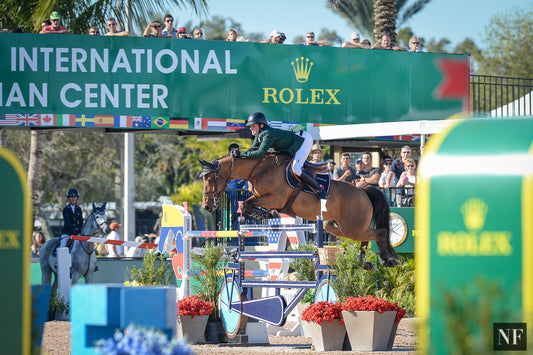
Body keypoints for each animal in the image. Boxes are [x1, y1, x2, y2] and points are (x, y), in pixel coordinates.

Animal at [200, 154, 400, 268]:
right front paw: (267, 214)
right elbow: (248, 205)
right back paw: (362, 262)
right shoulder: (267, 199)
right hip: (335, 227)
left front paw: (264, 214)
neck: (259, 170)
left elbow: (246, 205)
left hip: (352, 227)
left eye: (210, 179)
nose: (207, 206)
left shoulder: (276, 198)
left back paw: (386, 260)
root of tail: (363, 191)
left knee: (380, 233)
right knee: (366, 238)